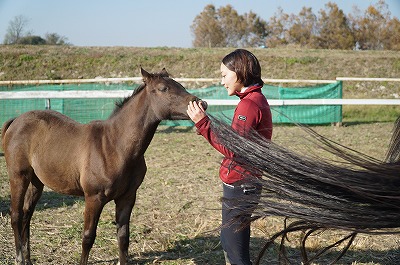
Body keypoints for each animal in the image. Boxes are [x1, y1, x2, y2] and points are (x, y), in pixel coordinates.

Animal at [0, 68, 206, 264]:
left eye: (180, 85)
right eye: (163, 89)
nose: (201, 104)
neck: (116, 145)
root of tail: (16, 120)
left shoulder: (127, 197)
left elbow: (123, 238)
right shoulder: (94, 198)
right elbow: (88, 238)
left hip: (37, 181)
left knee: (27, 214)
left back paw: (28, 258)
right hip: (18, 177)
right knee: (16, 214)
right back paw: (19, 258)